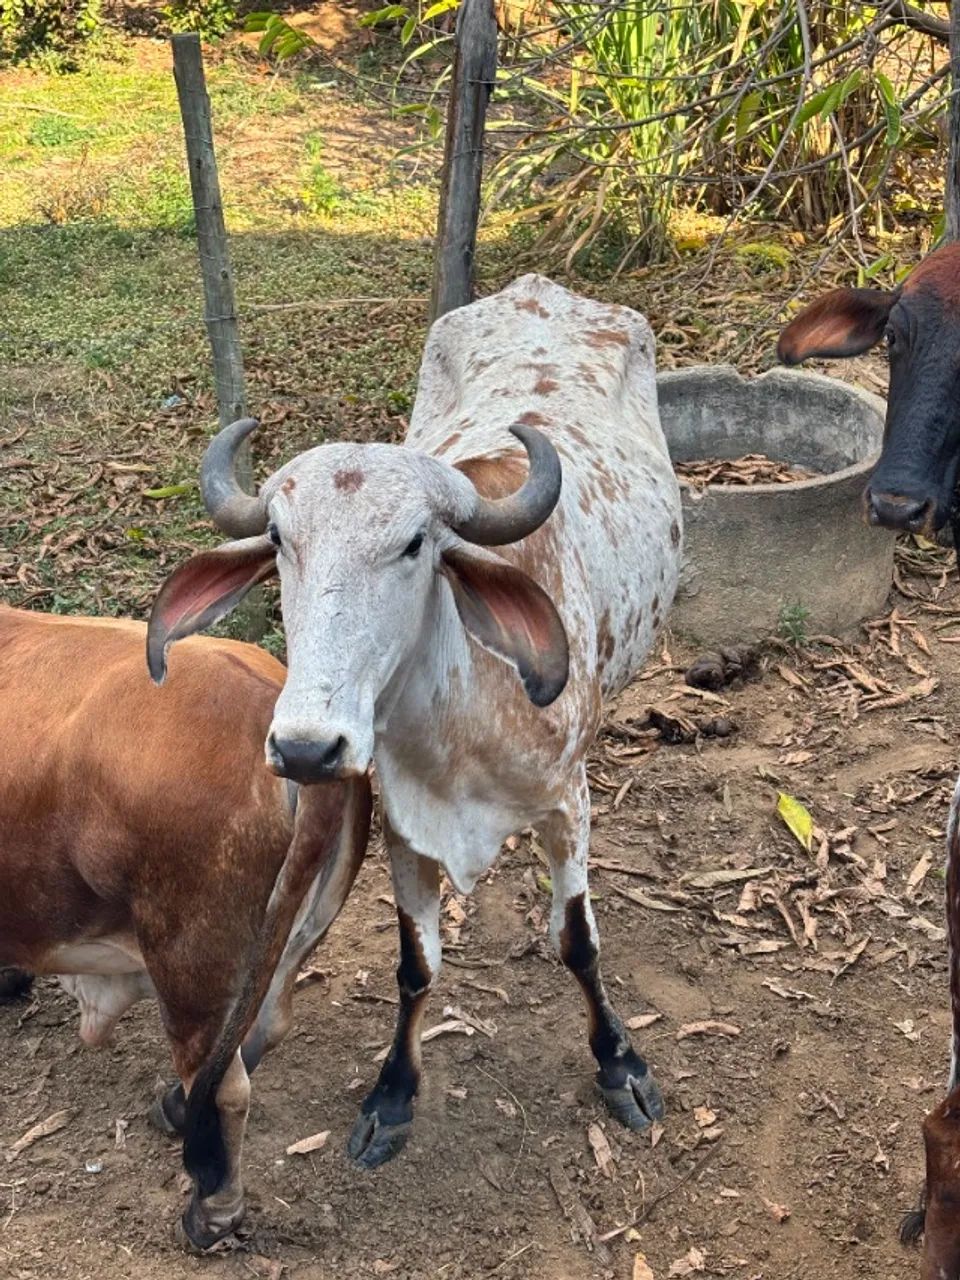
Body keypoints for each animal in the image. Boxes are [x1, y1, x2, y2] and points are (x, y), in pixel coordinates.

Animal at [0, 606, 371, 1248]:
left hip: (187, 961)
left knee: (225, 1085)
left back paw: (212, 1209)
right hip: (288, 938)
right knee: (263, 1027)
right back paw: (178, 1108)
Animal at [146, 274, 684, 1170]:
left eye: (413, 545)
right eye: (280, 541)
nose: (306, 747)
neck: (463, 721)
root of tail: (541, 287)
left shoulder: (565, 807)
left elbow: (576, 941)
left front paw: (620, 1064)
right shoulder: (405, 825)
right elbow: (415, 966)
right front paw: (393, 1094)